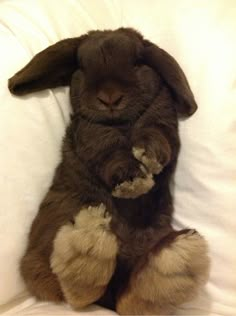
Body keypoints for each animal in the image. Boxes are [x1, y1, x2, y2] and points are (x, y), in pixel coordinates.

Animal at [8, 28, 209, 314]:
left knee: (129, 297)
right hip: (49, 236)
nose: (110, 98)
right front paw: (134, 181)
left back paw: (174, 262)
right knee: (71, 293)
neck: (122, 122)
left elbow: (158, 135)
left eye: (137, 63)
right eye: (82, 66)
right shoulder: (91, 132)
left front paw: (148, 156)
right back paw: (87, 245)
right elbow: (109, 149)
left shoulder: (164, 121)